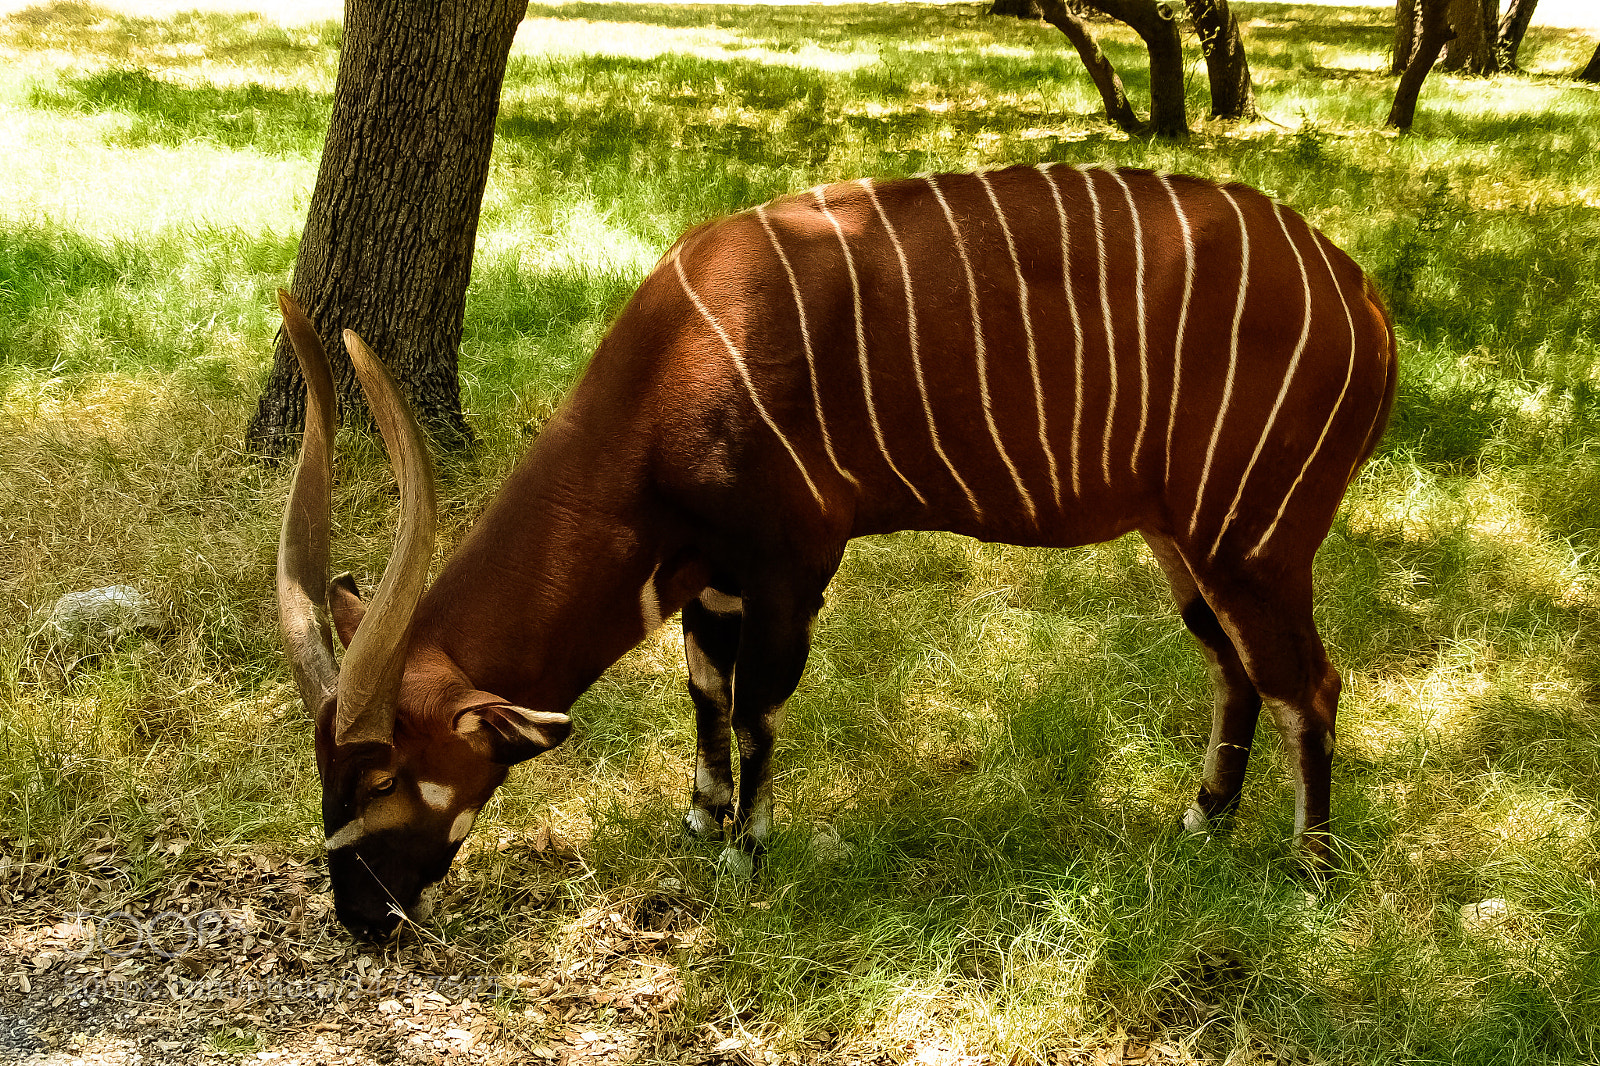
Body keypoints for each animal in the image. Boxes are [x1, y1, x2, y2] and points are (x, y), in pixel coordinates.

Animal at [277, 164, 1397, 939]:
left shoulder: (791, 570)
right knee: (1235, 669)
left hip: (1250, 540)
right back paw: (1204, 821)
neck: (668, 376)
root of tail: (1366, 299)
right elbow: (705, 692)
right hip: (1185, 539)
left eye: (381, 779)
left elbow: (756, 706)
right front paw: (701, 820)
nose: (359, 918)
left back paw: (1311, 873)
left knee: (1310, 683)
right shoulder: (711, 580)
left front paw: (746, 851)